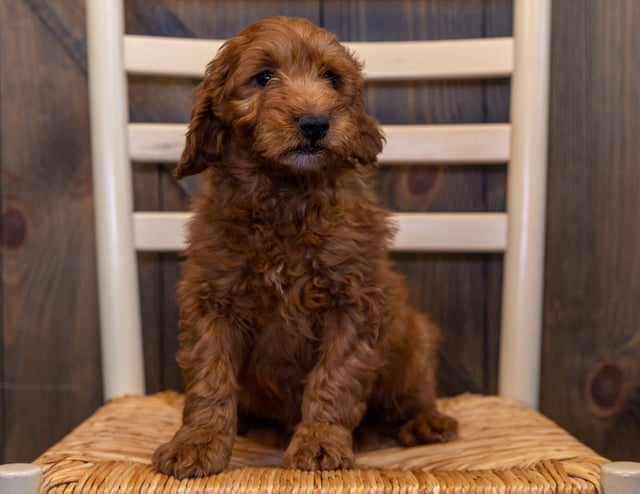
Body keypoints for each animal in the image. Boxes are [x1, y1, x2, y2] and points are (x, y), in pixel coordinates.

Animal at [152, 15, 458, 478]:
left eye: (331, 78)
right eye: (264, 77)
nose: (315, 123)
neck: (285, 196)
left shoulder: (352, 299)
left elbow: (335, 376)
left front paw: (320, 441)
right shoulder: (213, 298)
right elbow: (210, 377)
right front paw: (197, 441)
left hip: (412, 342)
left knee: (413, 394)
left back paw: (425, 421)